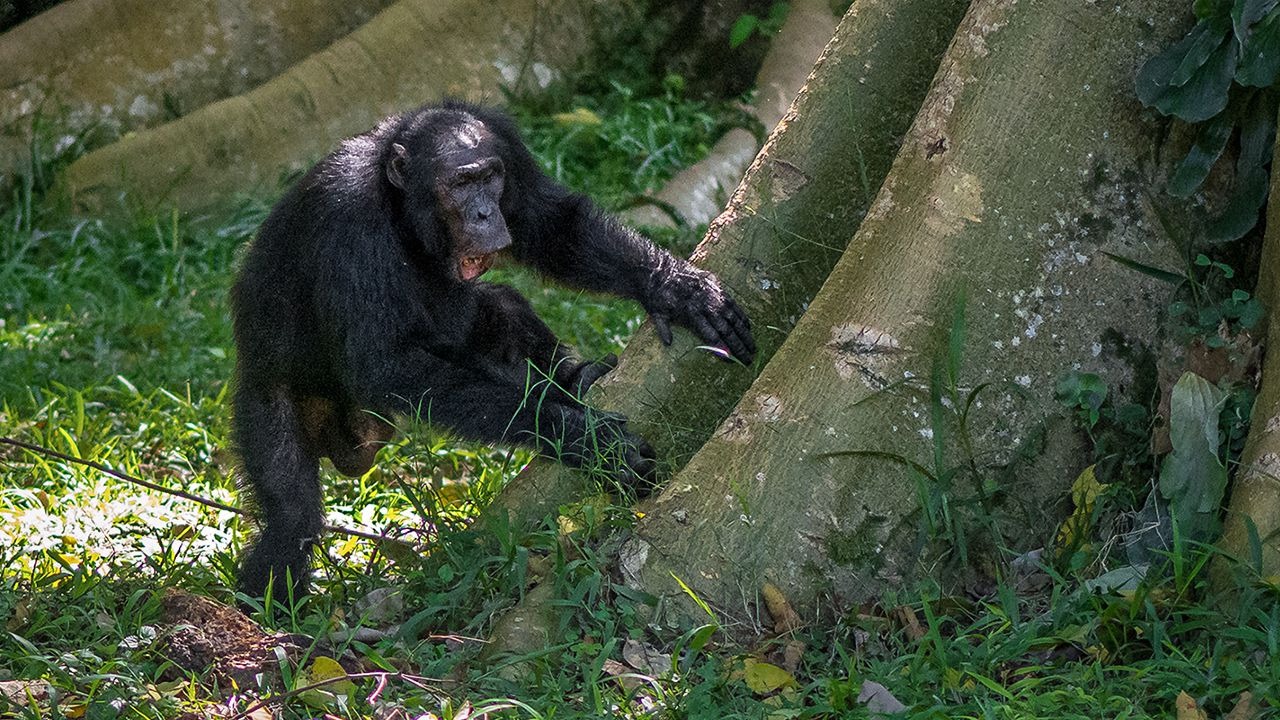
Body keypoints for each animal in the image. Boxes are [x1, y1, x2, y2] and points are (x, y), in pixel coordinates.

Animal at [231, 98, 752, 597]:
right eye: (461, 184)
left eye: (489, 177)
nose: (485, 213)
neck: (399, 206)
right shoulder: (349, 221)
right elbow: (387, 364)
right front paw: (582, 439)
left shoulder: (508, 147)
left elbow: (551, 224)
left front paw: (678, 288)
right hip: (267, 396)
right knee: (290, 519)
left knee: (501, 307)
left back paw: (572, 379)